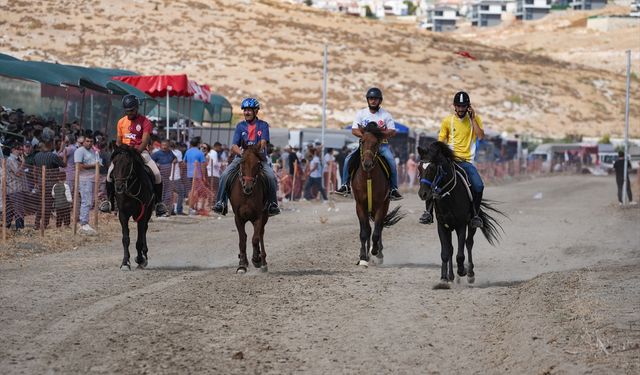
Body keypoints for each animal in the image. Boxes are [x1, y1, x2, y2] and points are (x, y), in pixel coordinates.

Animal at [229, 145, 268, 274]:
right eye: (242, 162)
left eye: (258, 163)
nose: (248, 187)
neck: (246, 195)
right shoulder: (238, 218)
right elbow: (242, 239)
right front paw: (242, 265)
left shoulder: (259, 217)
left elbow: (255, 238)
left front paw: (256, 259)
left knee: (260, 234)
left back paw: (263, 261)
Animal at [350, 123, 404, 268]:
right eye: (362, 141)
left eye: (376, 143)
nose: (367, 164)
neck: (368, 177)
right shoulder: (360, 205)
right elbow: (364, 232)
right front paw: (363, 257)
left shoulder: (381, 205)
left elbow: (376, 231)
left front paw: (375, 252)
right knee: (369, 229)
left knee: (378, 228)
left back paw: (378, 253)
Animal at [416, 141, 504, 288]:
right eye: (419, 168)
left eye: (433, 168)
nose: (423, 194)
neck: (448, 195)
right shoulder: (442, 226)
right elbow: (446, 252)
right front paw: (444, 278)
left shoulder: (461, 225)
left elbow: (460, 254)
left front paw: (463, 271)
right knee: (452, 248)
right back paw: (452, 276)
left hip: (472, 224)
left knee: (468, 243)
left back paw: (469, 274)